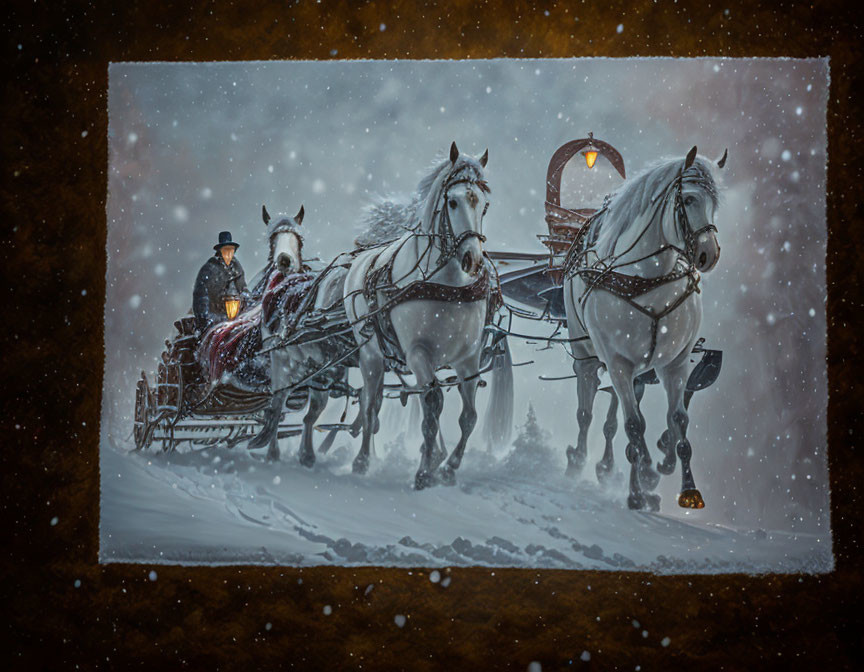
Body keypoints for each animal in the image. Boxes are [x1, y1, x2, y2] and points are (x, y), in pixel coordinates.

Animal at [246, 205, 354, 464]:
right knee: (277, 405)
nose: (284, 261)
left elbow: (312, 412)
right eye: (271, 240)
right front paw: (282, 453)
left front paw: (307, 454)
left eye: (300, 240)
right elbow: (277, 408)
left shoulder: (325, 370)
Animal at [342, 142, 510, 488]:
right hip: (370, 355)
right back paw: (362, 459)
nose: (473, 259)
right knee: (370, 405)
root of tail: (360, 260)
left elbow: (468, 416)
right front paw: (423, 472)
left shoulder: (468, 358)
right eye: (452, 201)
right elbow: (432, 407)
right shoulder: (419, 353)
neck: (447, 286)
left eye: (484, 205)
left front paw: (447, 466)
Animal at [564, 147, 724, 510]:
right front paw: (639, 488)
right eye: (689, 199)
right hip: (585, 353)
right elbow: (633, 424)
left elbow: (678, 420)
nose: (709, 254)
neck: (647, 282)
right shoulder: (618, 363)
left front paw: (685, 485)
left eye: (715, 203)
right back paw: (582, 459)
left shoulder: (675, 364)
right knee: (586, 408)